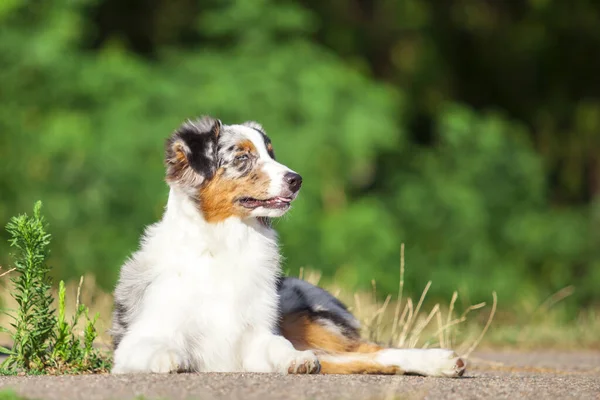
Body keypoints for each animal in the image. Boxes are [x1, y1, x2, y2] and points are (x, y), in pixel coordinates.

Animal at [110, 117, 466, 376]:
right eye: (243, 157)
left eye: (271, 153)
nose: (297, 180)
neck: (225, 245)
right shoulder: (137, 338)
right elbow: (155, 348)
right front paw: (171, 359)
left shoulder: (256, 337)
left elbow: (279, 347)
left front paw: (296, 360)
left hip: (303, 315)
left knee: (369, 350)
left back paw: (441, 361)